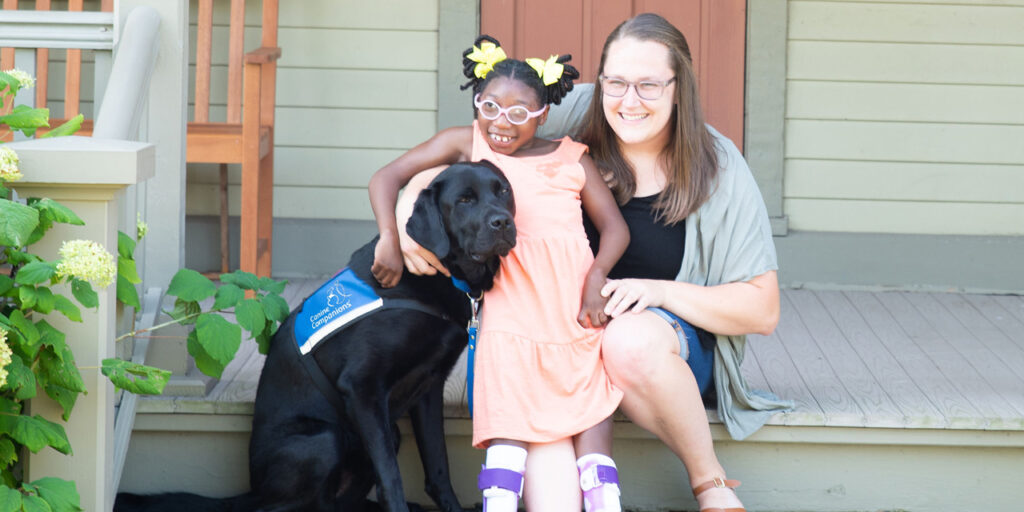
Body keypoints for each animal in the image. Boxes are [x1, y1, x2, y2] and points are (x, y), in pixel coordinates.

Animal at [117, 161, 516, 512]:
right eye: (464, 200)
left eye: (503, 191)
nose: (503, 222)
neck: (440, 276)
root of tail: (253, 489)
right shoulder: (363, 386)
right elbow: (392, 477)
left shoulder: (429, 388)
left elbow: (438, 468)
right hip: (324, 440)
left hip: (385, 433)